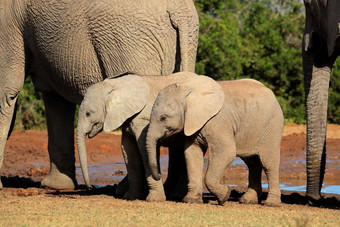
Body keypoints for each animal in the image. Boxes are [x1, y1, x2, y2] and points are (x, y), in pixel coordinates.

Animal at [0, 0, 199, 190]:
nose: (89, 187)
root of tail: (179, 10)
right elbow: (55, 97)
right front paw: (56, 186)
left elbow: (7, 91)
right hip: (186, 41)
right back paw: (174, 190)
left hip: (130, 42)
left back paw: (128, 189)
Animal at [146, 75, 284, 207]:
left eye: (163, 118)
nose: (159, 175)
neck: (188, 90)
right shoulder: (192, 123)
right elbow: (192, 153)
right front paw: (191, 201)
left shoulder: (218, 121)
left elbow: (226, 151)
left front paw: (225, 196)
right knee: (252, 162)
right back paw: (248, 200)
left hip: (273, 124)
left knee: (268, 162)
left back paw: (271, 203)